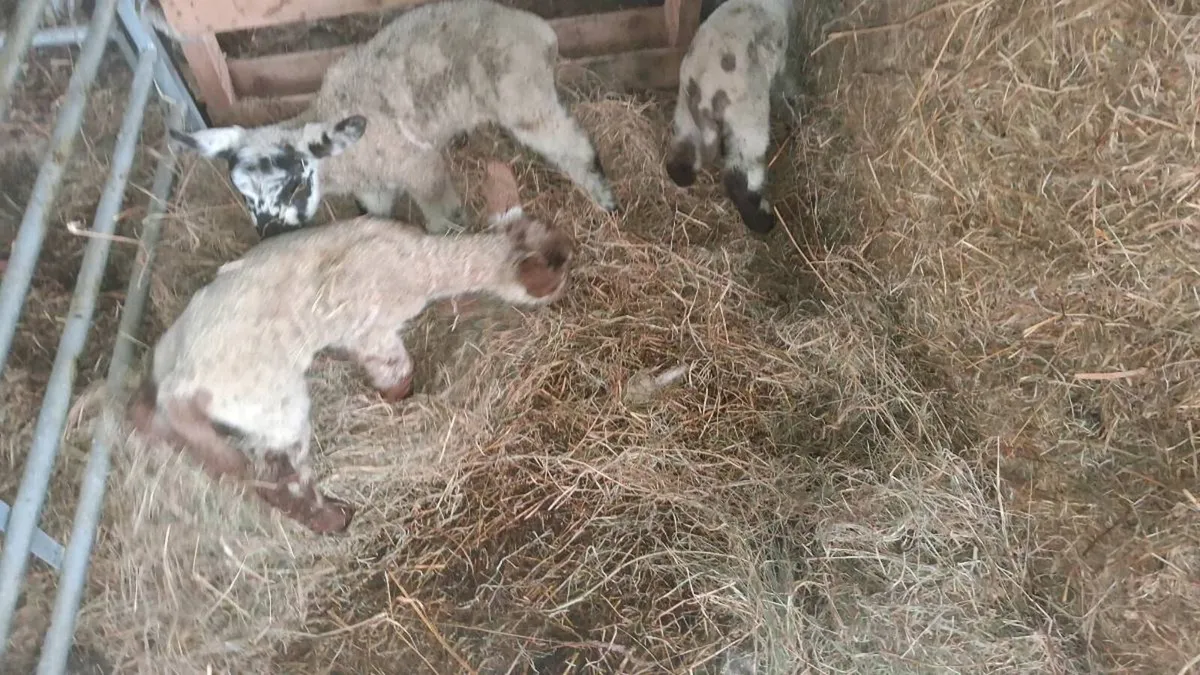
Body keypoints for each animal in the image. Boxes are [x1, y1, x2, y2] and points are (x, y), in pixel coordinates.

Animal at [126, 161, 574, 533]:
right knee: (279, 480)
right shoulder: (373, 331)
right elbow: (395, 371)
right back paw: (335, 519)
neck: (424, 262)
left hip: (177, 378)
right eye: (555, 277)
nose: (564, 294)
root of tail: (180, 388)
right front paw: (398, 398)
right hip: (274, 409)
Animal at [168, 0, 618, 240]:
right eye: (242, 192)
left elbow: (440, 217)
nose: (270, 232)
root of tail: (537, 29)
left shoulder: (420, 168)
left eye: (295, 181)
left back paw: (603, 196)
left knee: (569, 144)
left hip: (523, 96)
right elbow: (378, 213)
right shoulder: (375, 186)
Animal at [664, 0, 795, 234]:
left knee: (682, 153)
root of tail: (704, 91)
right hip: (747, 119)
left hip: (685, 110)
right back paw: (762, 220)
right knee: (739, 174)